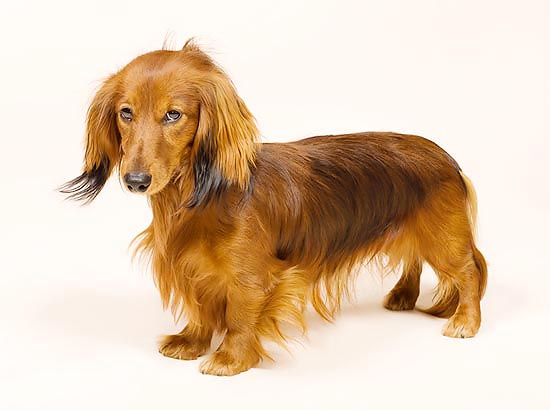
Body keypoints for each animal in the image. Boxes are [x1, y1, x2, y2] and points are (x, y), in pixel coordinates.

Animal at [62, 40, 490, 376]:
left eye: (173, 114)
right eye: (126, 113)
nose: (135, 180)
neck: (197, 199)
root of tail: (446, 157)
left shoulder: (252, 277)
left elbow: (238, 316)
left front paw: (230, 359)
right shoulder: (189, 266)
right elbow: (200, 308)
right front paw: (192, 342)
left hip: (443, 238)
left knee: (469, 272)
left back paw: (466, 321)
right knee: (413, 259)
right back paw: (403, 296)